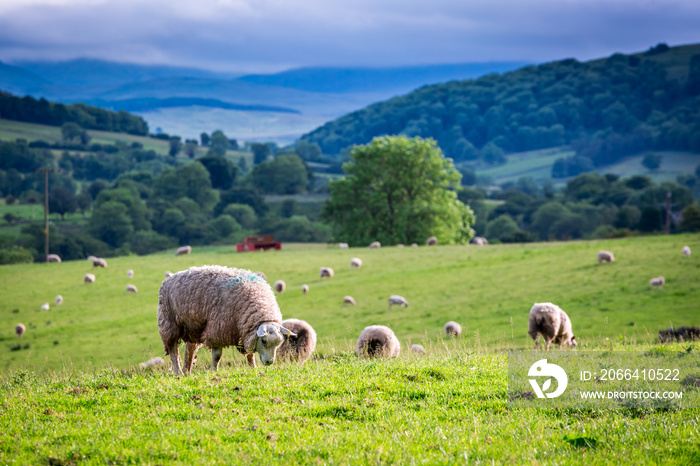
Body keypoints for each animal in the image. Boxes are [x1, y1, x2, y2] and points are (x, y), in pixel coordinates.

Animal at [157, 264, 296, 376]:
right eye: (264, 341)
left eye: (278, 344)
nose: (269, 362)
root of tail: (168, 279)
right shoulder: (217, 330)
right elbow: (217, 355)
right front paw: (214, 370)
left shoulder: (244, 332)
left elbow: (250, 355)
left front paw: (253, 367)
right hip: (169, 324)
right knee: (173, 351)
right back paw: (178, 373)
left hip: (193, 328)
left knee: (190, 350)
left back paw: (187, 371)